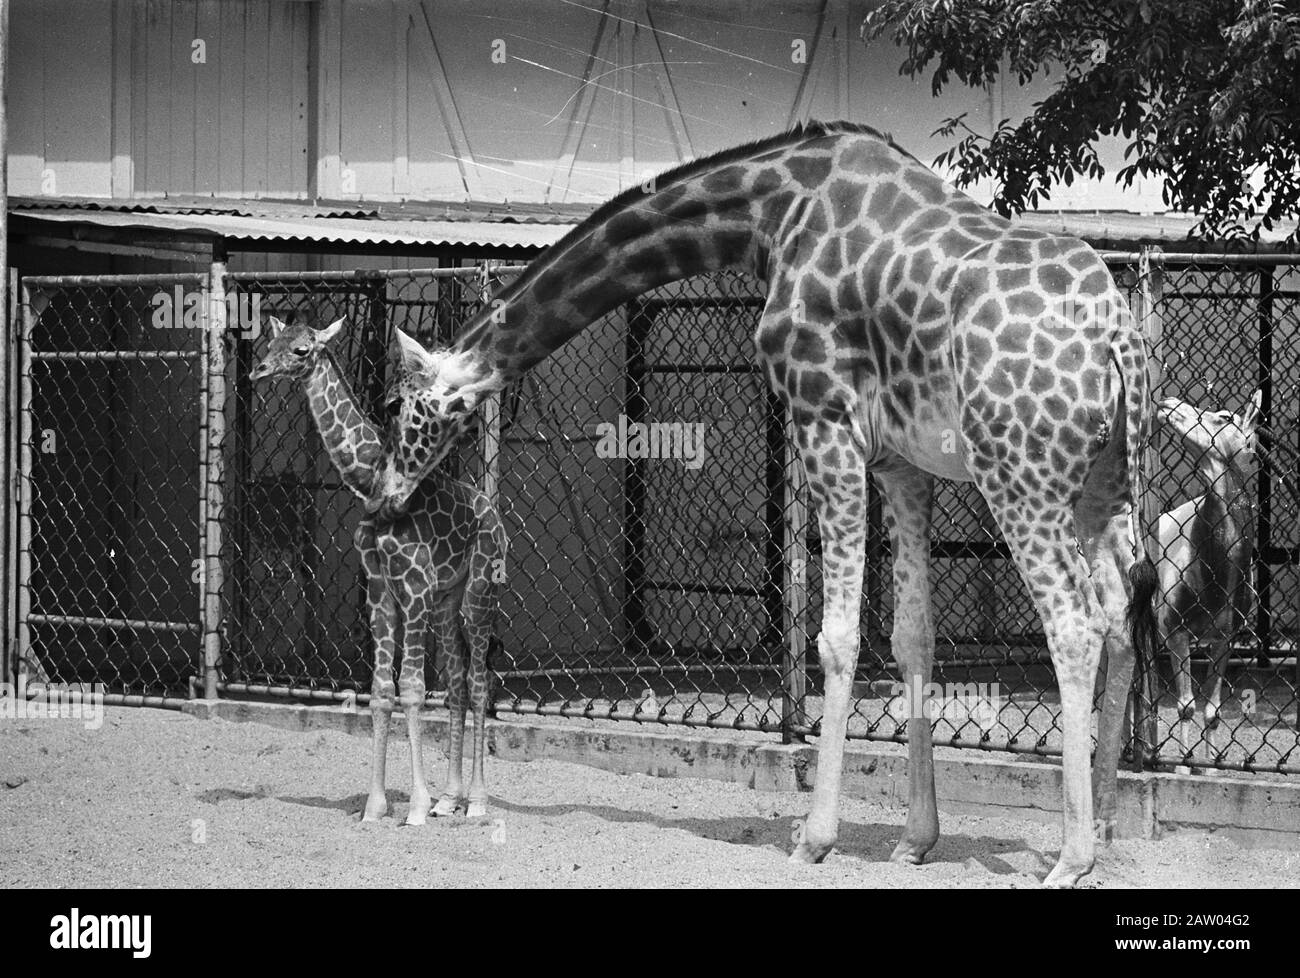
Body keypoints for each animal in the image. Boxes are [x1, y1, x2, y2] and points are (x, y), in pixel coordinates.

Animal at [250, 317, 504, 821]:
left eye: (302, 349)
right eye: (271, 342)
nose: (258, 370)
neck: (372, 479)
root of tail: (496, 514)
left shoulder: (415, 585)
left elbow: (412, 688)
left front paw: (416, 808)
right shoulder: (381, 590)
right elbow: (382, 690)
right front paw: (375, 806)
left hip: (480, 591)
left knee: (480, 682)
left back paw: (477, 803)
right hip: (447, 601)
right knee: (458, 683)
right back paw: (450, 800)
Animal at [366, 122, 1159, 884]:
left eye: (404, 409)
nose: (384, 498)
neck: (770, 213)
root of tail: (1114, 334)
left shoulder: (824, 418)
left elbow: (834, 638)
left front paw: (816, 837)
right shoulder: (901, 463)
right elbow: (911, 636)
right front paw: (914, 840)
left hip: (1017, 475)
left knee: (1075, 625)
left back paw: (1071, 857)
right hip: (1102, 484)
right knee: (1122, 611)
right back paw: (1108, 828)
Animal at [1159, 384, 1258, 769]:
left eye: (1225, 417)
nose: (1168, 402)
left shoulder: (1226, 636)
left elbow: (1213, 711)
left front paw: (1210, 766)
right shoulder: (1173, 627)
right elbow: (1185, 706)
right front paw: (1183, 765)